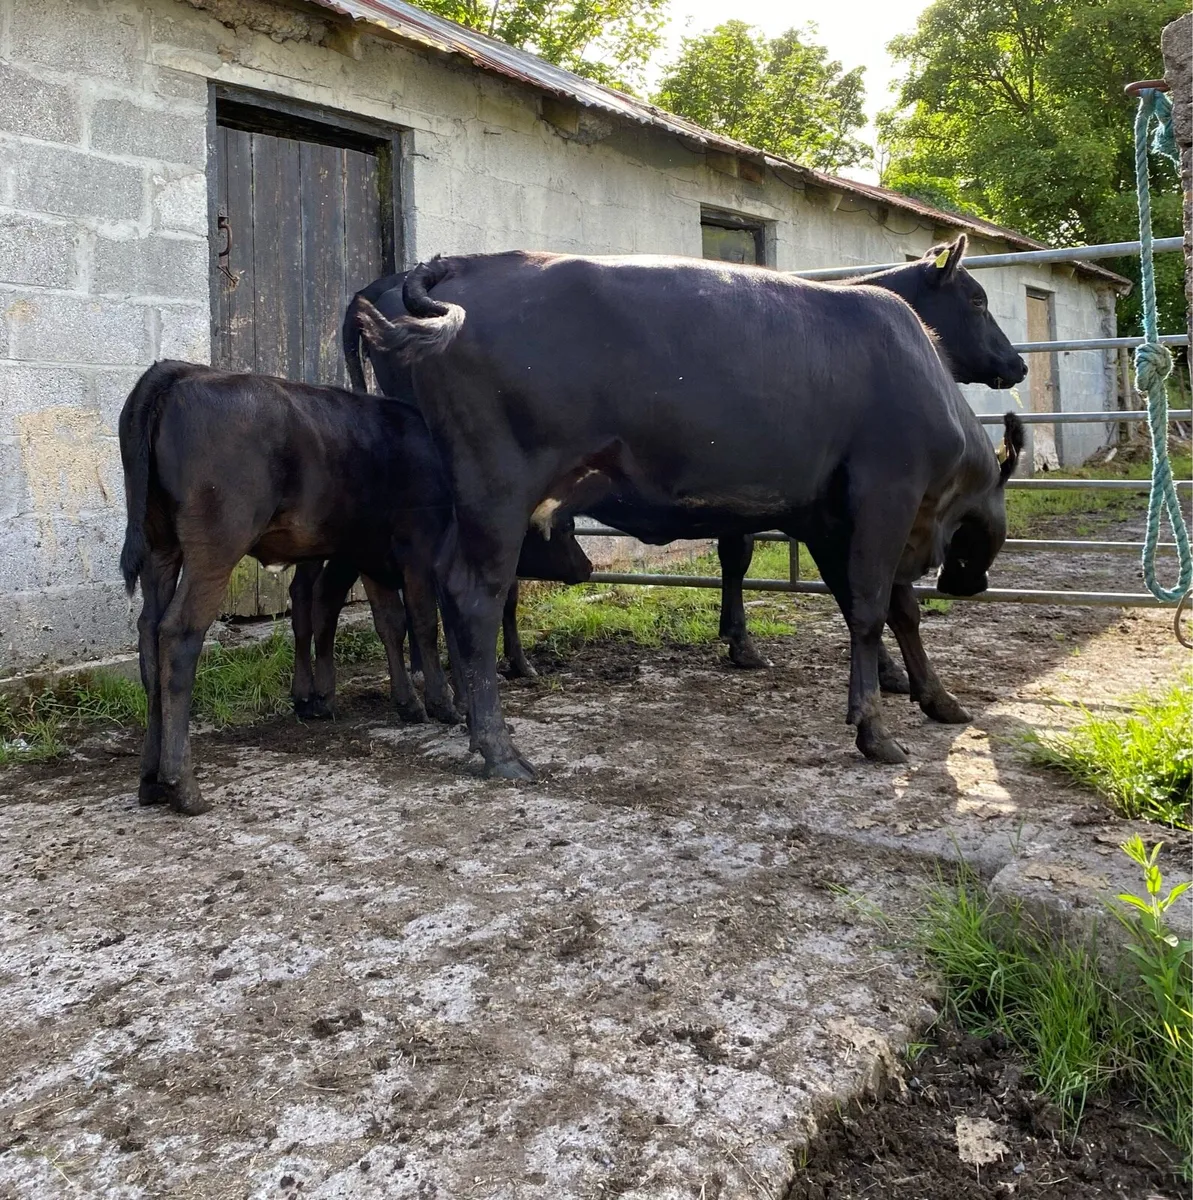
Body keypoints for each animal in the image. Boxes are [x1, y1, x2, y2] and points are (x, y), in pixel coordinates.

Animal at [118, 361, 462, 814]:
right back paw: (183, 786)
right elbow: (423, 622)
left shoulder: (372, 552)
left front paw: (407, 702)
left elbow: (390, 623)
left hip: (160, 546)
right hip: (216, 543)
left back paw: (149, 779)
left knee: (149, 635)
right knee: (178, 634)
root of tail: (185, 372)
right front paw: (443, 702)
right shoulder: (418, 546)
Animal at [353, 251, 1025, 780]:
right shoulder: (887, 495)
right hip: (496, 491)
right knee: (476, 595)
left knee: (441, 584)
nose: (1018, 366)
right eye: (977, 297)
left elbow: (893, 607)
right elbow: (868, 609)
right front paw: (876, 729)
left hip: (459, 501)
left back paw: (458, 711)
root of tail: (465, 263)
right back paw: (497, 747)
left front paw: (934, 697)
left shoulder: (832, 520)